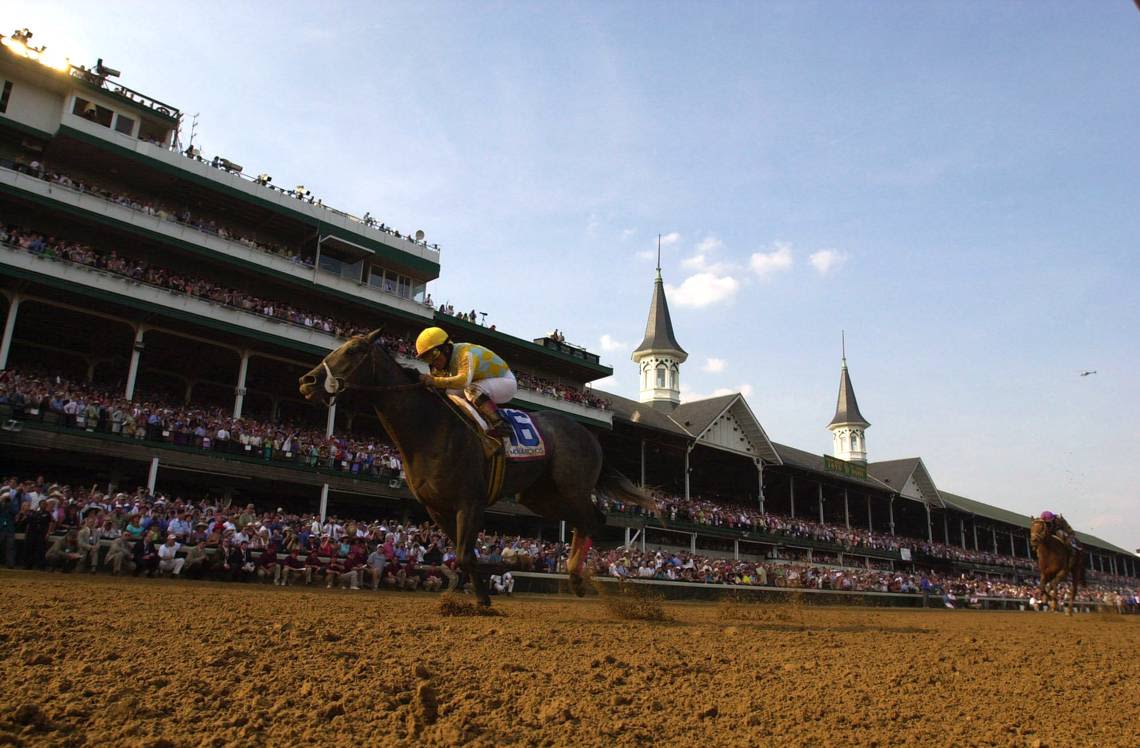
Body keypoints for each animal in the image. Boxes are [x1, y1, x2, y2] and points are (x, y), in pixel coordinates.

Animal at [298, 330, 656, 606]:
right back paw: (574, 575)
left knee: (594, 519)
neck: (429, 429)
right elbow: (463, 553)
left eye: (353, 350)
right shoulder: (438, 509)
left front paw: (484, 593)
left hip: (572, 487)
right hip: (539, 497)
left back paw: (578, 577)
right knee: (584, 522)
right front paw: (476, 592)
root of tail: (590, 435)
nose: (307, 381)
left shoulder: (470, 502)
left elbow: (466, 555)